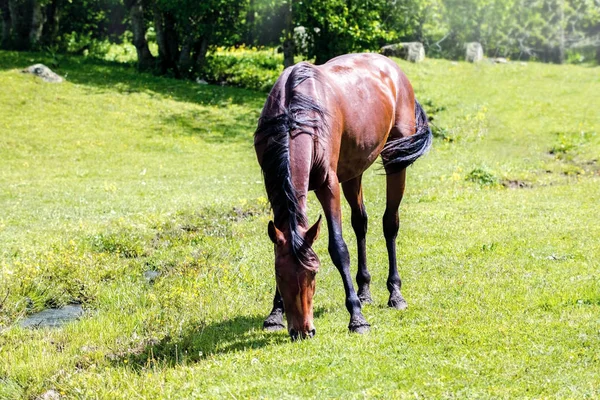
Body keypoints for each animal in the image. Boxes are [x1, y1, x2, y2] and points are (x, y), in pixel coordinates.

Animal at [253, 52, 432, 340]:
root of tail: (393, 68)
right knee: (360, 222)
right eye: (279, 275)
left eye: (313, 274)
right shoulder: (274, 187)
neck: (296, 114)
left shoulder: (329, 185)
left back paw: (395, 294)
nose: (303, 331)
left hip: (394, 162)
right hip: (352, 172)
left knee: (390, 223)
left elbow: (338, 248)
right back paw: (364, 290)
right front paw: (274, 314)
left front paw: (357, 319)